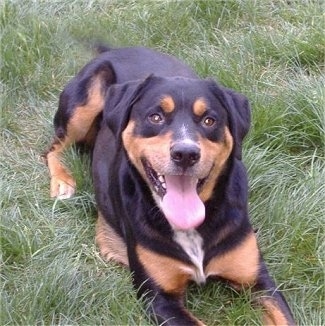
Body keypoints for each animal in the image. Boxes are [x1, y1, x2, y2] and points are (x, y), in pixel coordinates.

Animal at [44, 46, 294, 326]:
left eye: (209, 120)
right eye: (156, 117)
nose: (185, 154)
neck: (191, 229)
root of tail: (115, 49)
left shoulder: (258, 281)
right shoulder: (159, 297)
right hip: (85, 102)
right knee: (53, 148)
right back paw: (63, 181)